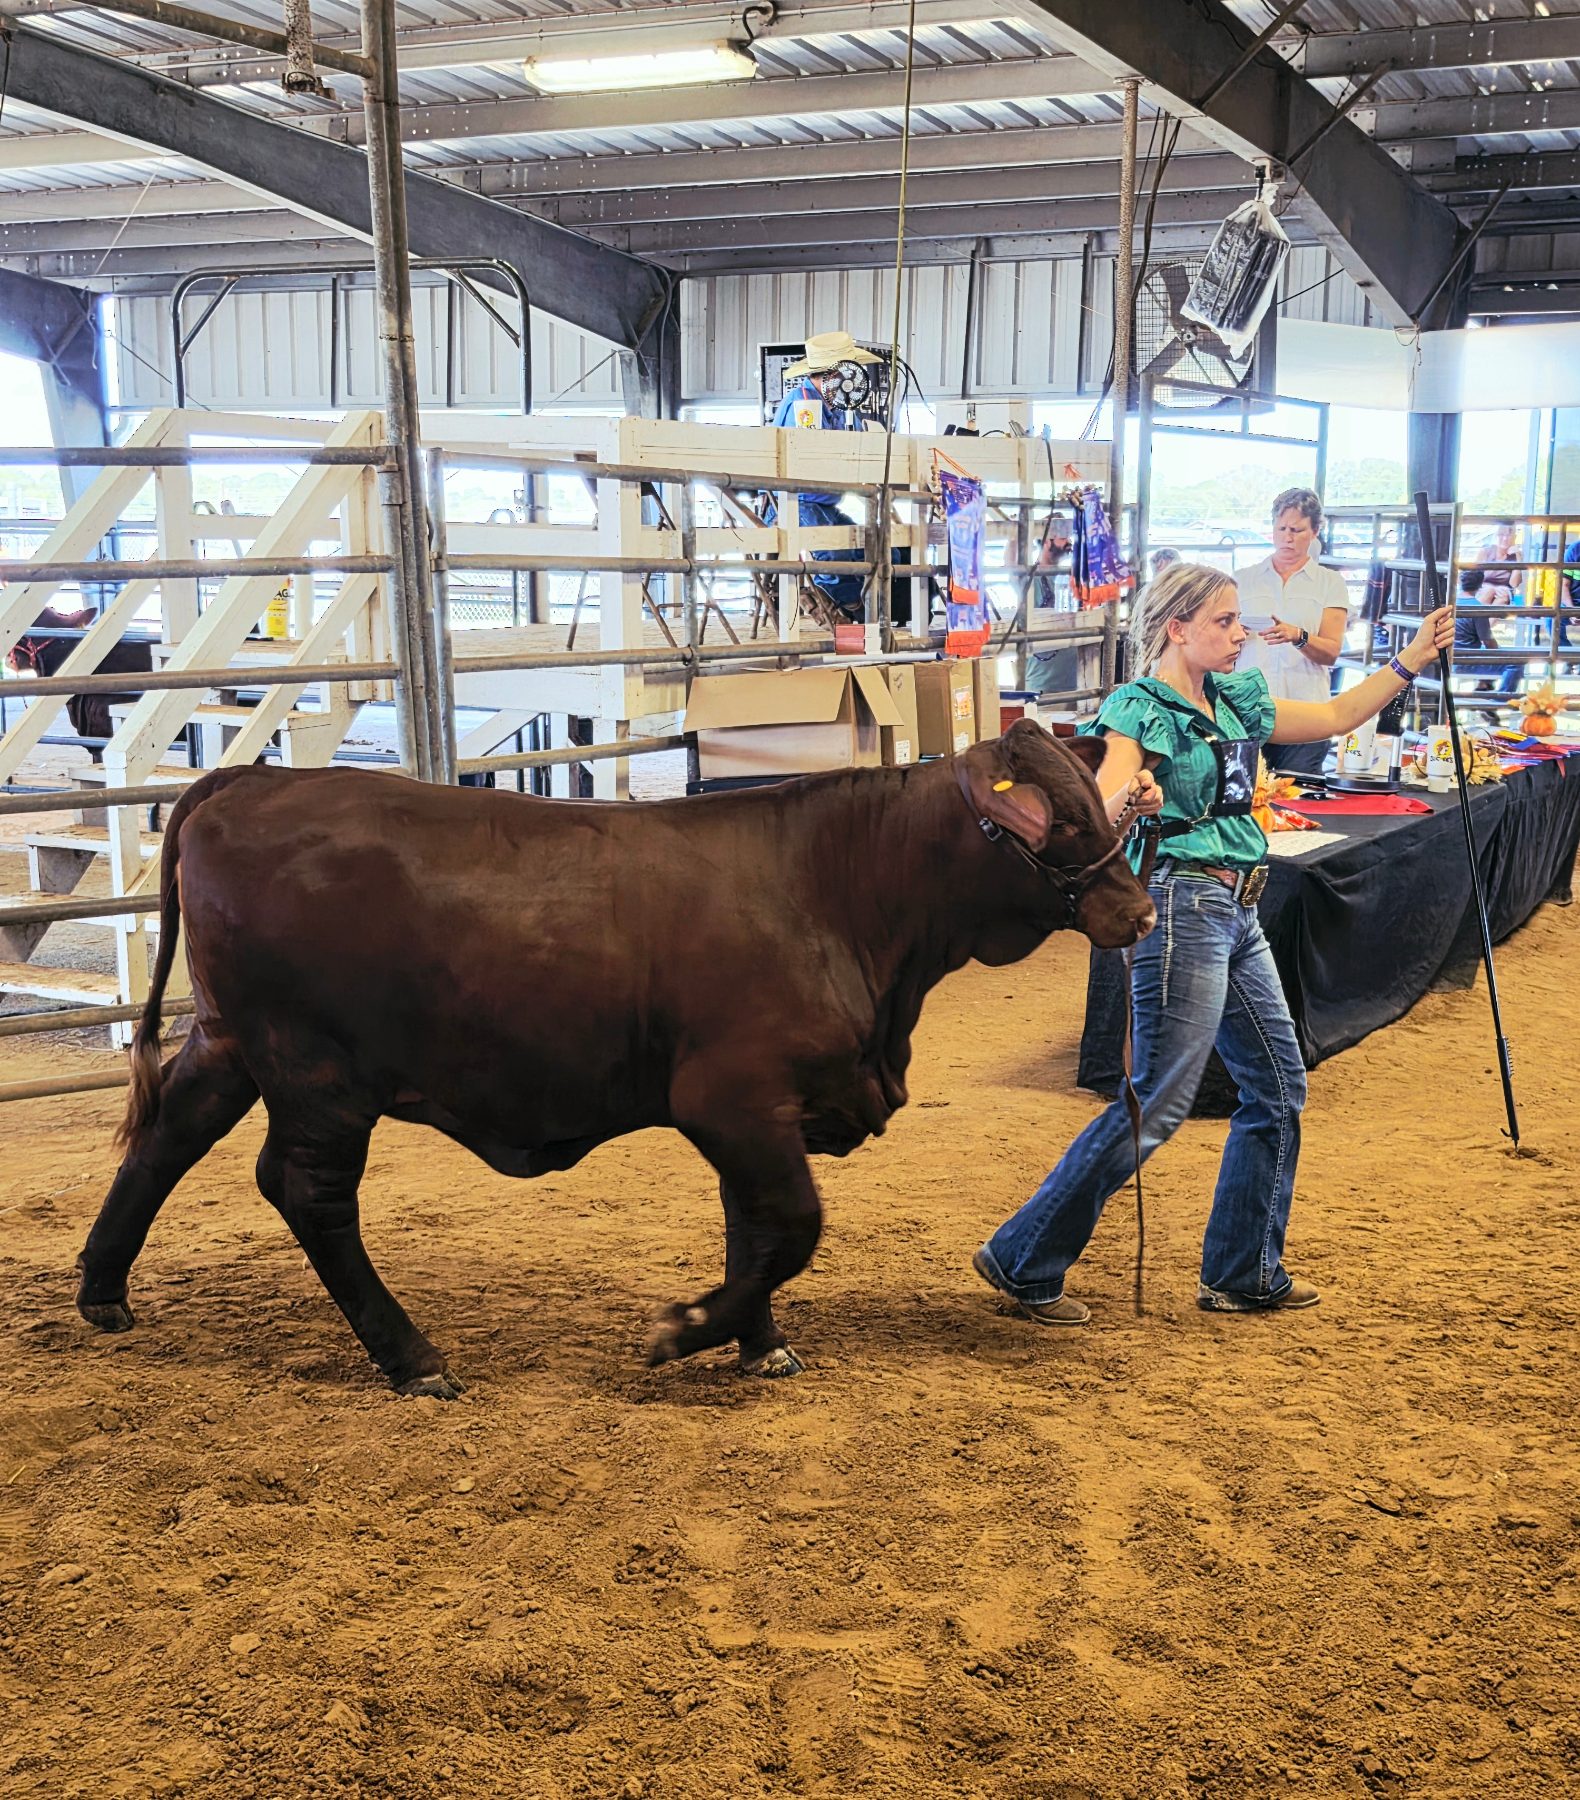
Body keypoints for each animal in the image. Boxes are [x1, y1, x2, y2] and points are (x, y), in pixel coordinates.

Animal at [74, 721, 1155, 1397]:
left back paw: (102, 1290)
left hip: (229, 1042)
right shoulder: (731, 1096)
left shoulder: (757, 1111)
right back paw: (412, 1356)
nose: (1137, 912)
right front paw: (685, 1330)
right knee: (308, 1193)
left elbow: (754, 1231)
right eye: (1054, 819)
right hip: (317, 1074)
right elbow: (792, 1228)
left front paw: (759, 1347)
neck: (839, 889)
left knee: (168, 1133)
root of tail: (253, 779)